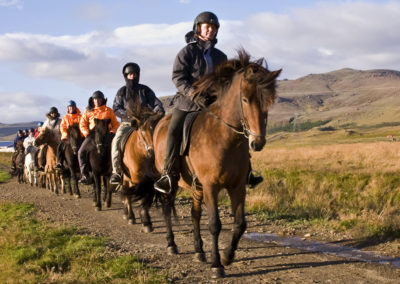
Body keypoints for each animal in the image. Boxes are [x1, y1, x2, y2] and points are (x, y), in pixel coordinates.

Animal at [152, 50, 282, 278]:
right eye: (245, 99)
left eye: (269, 102)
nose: (257, 143)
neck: (225, 138)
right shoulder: (211, 186)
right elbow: (214, 225)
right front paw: (216, 265)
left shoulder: (237, 187)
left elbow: (240, 224)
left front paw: (227, 256)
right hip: (172, 183)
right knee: (168, 209)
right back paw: (172, 245)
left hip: (197, 186)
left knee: (194, 214)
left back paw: (199, 251)